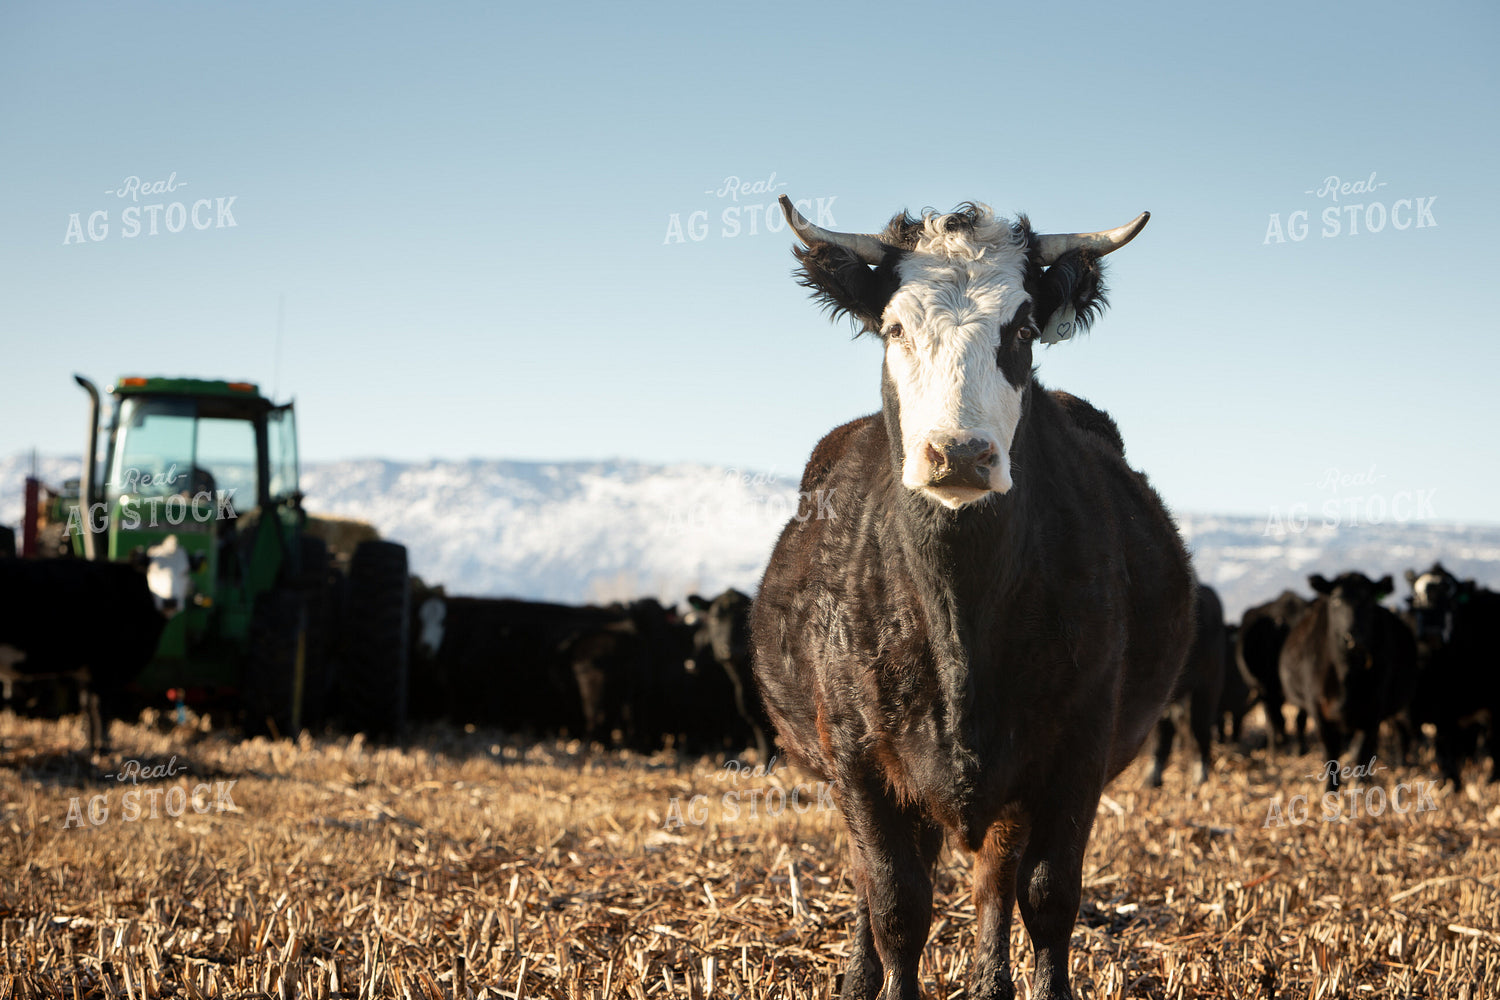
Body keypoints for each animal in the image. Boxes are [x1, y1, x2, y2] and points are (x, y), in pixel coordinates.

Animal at [0, 556, 166, 751]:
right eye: (152, 571)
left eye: (185, 571)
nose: (171, 602)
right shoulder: (103, 667)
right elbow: (99, 705)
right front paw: (102, 747)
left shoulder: (88, 671)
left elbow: (88, 703)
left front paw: (91, 744)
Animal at [751, 197, 1195, 1000]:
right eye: (894, 327)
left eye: (1020, 329)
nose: (959, 453)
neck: (957, 606)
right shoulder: (859, 760)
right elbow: (895, 903)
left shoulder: (1076, 750)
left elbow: (1047, 896)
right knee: (874, 884)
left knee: (995, 879)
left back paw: (990, 980)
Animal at [1235, 590, 1311, 750]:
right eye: (1284, 625)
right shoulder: (1268, 689)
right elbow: (1278, 719)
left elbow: (1300, 719)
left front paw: (1300, 746)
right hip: (1262, 691)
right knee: (1272, 717)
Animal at [1278, 572, 1420, 789]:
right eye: (1336, 599)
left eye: (1369, 600)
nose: (1354, 638)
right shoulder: (1318, 711)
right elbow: (1330, 752)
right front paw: (1331, 789)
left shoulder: (1373, 711)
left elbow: (1361, 752)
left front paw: (1361, 786)